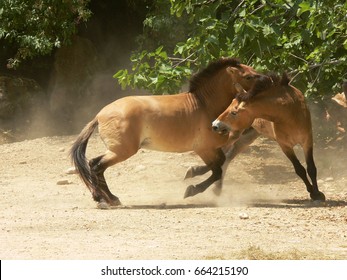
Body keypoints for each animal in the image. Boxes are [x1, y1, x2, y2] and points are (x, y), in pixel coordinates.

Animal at [71, 57, 264, 208]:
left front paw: (192, 176)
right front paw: (191, 190)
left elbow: (220, 165)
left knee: (93, 164)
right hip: (122, 151)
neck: (204, 106)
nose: (266, 84)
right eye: (248, 76)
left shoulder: (212, 149)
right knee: (97, 166)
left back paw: (102, 198)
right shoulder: (203, 149)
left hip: (116, 150)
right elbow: (216, 171)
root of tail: (99, 115)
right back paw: (109, 199)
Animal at [211, 72, 328, 201]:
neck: (290, 112)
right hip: (233, 134)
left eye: (234, 112)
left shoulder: (307, 141)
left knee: (228, 157)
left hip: (247, 137)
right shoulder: (285, 146)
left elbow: (311, 168)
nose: (215, 125)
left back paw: (217, 188)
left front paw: (317, 193)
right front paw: (312, 192)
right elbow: (299, 169)